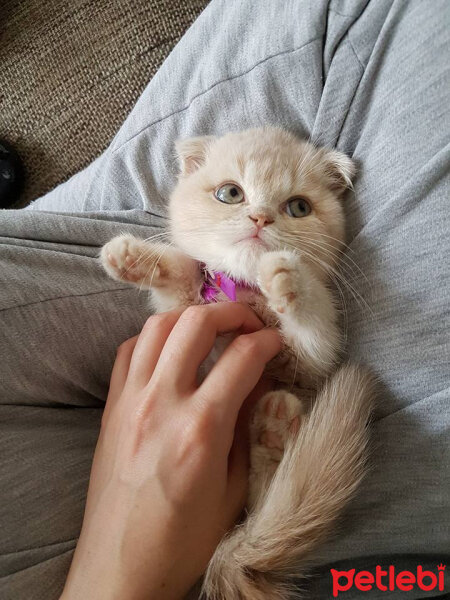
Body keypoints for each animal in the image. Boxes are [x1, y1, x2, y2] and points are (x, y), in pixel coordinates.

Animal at [100, 127, 374, 600]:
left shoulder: (310, 360)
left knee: (267, 493)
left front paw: (288, 276)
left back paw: (275, 427)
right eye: (230, 193)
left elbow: (314, 321)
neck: (244, 291)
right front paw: (132, 256)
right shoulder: (185, 306)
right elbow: (186, 272)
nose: (260, 218)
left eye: (298, 207)